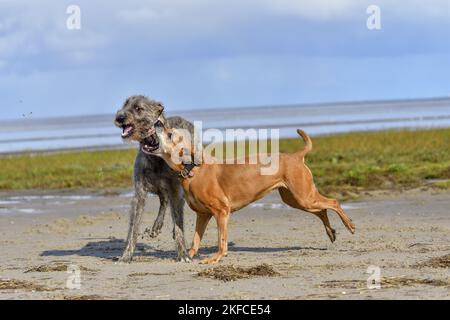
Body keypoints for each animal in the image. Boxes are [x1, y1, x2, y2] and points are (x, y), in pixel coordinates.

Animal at [113, 95, 192, 262]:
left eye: (138, 108)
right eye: (125, 104)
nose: (119, 117)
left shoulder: (175, 189)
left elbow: (178, 219)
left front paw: (183, 253)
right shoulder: (140, 191)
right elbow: (133, 226)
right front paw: (126, 255)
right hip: (157, 187)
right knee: (164, 200)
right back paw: (156, 226)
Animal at [147, 124, 356, 264]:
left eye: (170, 133)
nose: (156, 123)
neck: (192, 168)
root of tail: (296, 156)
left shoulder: (221, 212)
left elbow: (221, 240)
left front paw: (215, 258)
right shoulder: (203, 215)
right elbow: (196, 239)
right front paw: (188, 255)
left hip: (304, 197)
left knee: (334, 202)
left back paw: (350, 225)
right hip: (296, 199)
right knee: (322, 210)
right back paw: (331, 233)